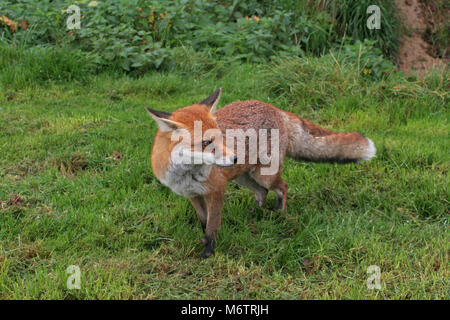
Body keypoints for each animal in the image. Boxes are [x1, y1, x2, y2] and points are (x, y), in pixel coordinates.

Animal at [146, 89, 374, 258]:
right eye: (206, 142)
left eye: (220, 137)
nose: (234, 158)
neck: (186, 175)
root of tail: (276, 109)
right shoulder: (192, 194)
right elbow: (204, 222)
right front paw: (203, 241)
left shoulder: (216, 190)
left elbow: (212, 226)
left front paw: (208, 252)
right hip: (244, 176)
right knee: (261, 193)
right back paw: (255, 213)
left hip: (264, 175)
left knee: (282, 187)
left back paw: (280, 215)